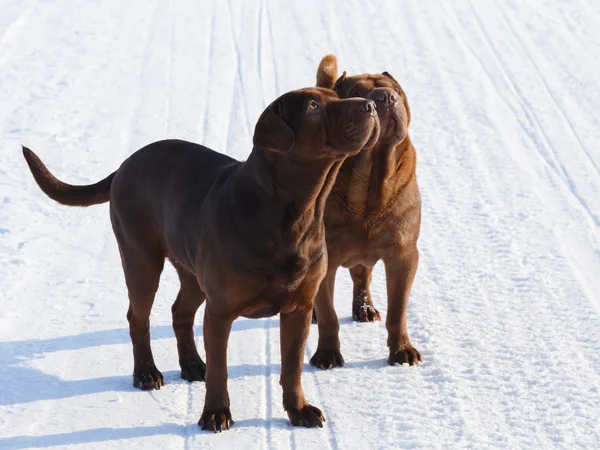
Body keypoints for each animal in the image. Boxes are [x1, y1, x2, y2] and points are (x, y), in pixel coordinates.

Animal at [24, 86, 380, 430]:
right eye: (313, 107)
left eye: (336, 97)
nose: (370, 105)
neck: (293, 214)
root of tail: (124, 165)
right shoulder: (220, 310)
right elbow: (220, 370)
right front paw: (215, 414)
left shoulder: (299, 309)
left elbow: (292, 368)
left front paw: (299, 411)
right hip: (141, 259)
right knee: (138, 317)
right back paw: (146, 373)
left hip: (191, 272)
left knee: (180, 312)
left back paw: (192, 364)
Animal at [310, 53, 422, 370]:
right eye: (357, 93)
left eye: (395, 90)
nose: (384, 97)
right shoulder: (325, 259)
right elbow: (328, 315)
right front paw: (327, 354)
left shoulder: (403, 255)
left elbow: (398, 311)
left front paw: (402, 350)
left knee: (362, 276)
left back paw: (365, 308)